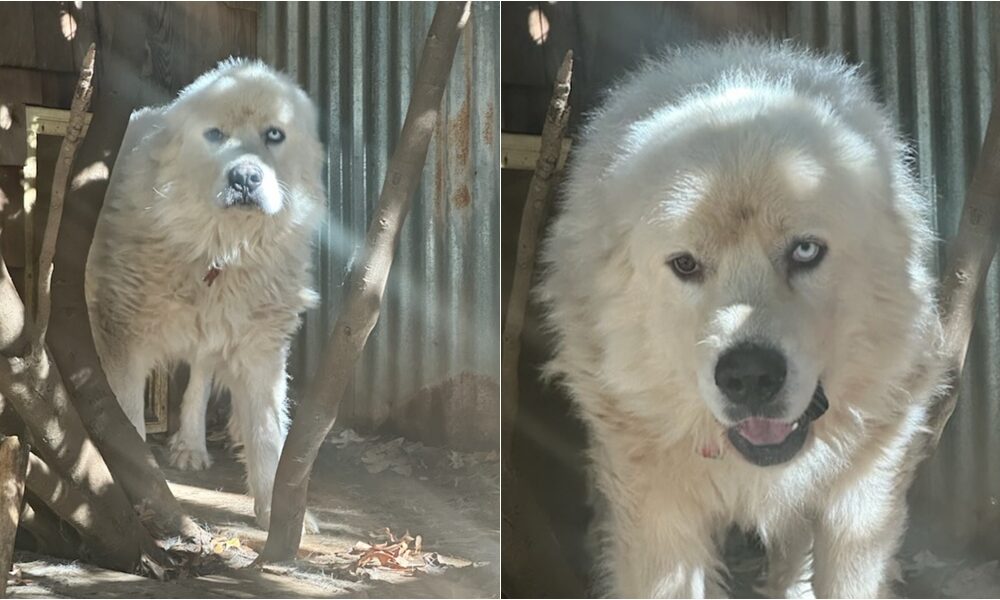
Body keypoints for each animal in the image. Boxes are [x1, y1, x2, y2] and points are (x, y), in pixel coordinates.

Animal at [86, 59, 322, 528]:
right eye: (215, 135)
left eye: (274, 134)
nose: (245, 177)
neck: (221, 248)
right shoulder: (123, 335)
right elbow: (127, 423)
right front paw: (141, 493)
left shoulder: (260, 344)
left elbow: (268, 433)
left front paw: (279, 515)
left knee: (201, 371)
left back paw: (191, 444)